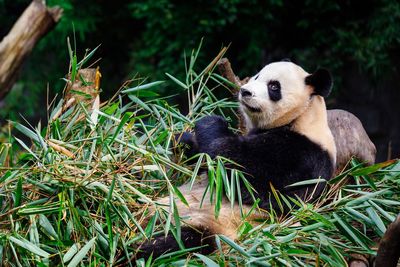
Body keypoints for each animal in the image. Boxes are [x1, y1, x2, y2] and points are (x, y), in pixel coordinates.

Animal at [136, 61, 336, 260]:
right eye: (257, 76)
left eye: (273, 86)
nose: (245, 91)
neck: (303, 117)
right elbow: (202, 162)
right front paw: (182, 140)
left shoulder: (298, 156)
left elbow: (236, 170)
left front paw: (211, 121)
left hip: (215, 228)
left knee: (179, 242)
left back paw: (141, 245)